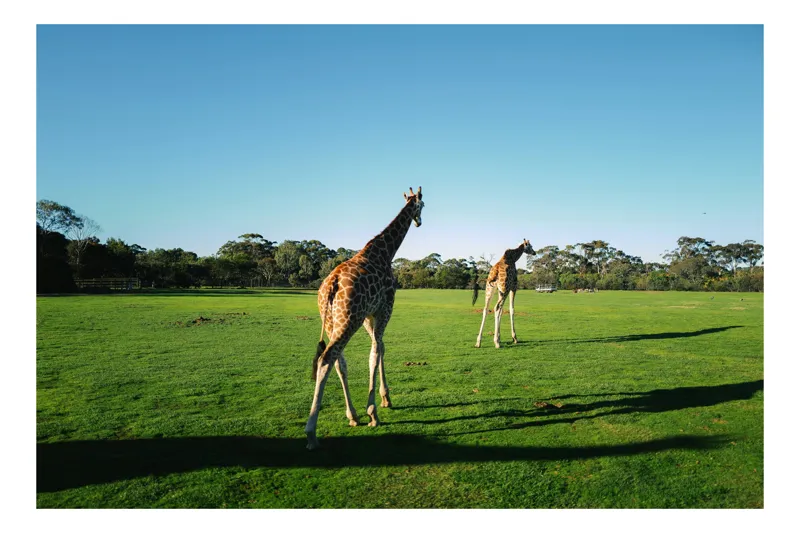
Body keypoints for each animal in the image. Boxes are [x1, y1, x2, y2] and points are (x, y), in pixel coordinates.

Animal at [304, 186, 425, 450]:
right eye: (423, 205)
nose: (419, 222)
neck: (385, 252)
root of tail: (331, 285)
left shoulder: (370, 313)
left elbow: (380, 347)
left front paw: (385, 399)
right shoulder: (385, 307)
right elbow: (375, 351)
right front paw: (373, 412)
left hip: (335, 322)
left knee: (338, 361)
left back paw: (352, 415)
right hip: (349, 320)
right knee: (327, 358)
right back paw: (311, 432)